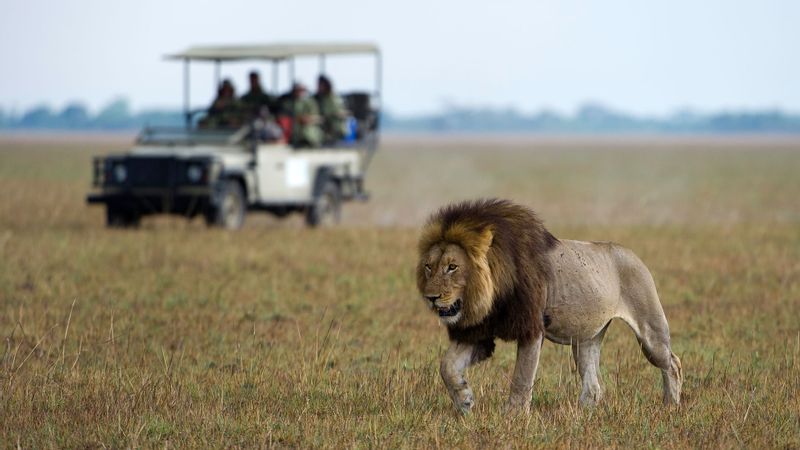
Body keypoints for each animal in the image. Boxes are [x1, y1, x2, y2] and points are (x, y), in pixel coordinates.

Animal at [416, 200, 684, 414]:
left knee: (672, 362)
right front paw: (464, 401)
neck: (490, 296)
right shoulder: (479, 332)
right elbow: (447, 367)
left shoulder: (532, 328)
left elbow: (521, 378)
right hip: (586, 339)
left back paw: (670, 405)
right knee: (593, 383)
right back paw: (582, 414)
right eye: (429, 266)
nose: (431, 297)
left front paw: (512, 417)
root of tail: (632, 254)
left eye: (452, 267)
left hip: (650, 332)